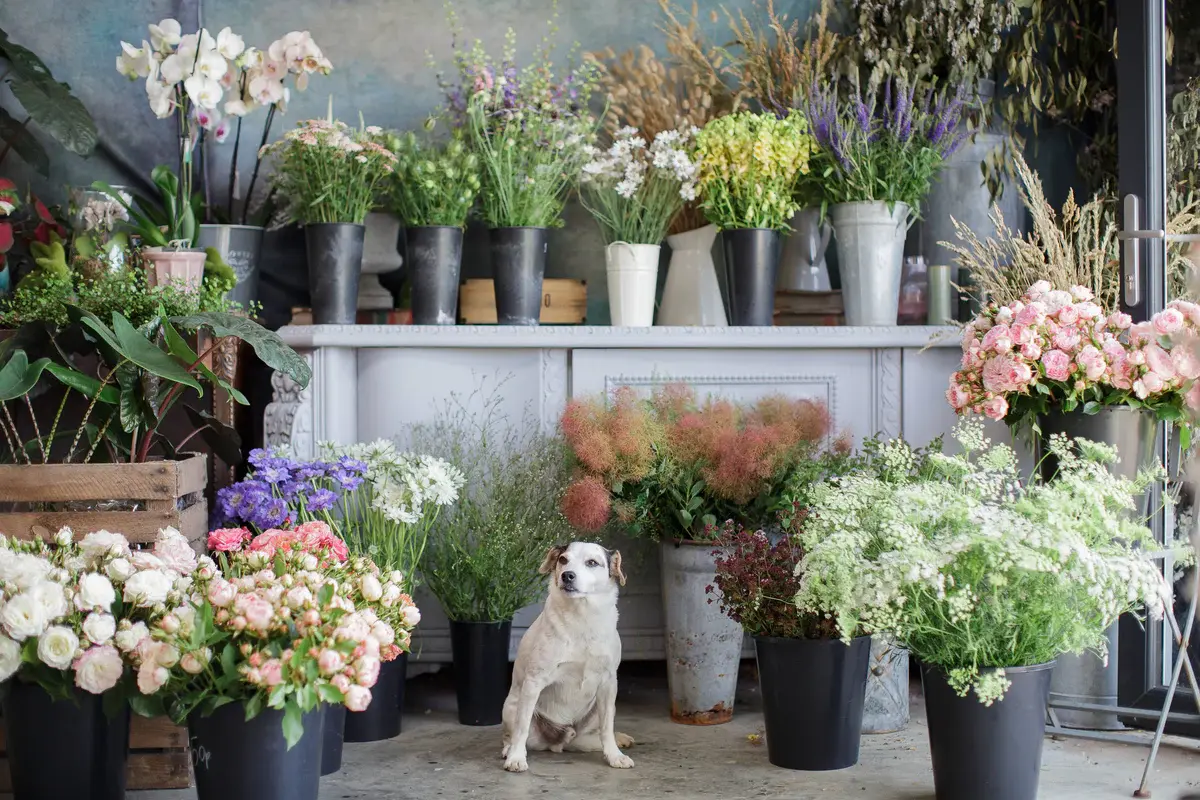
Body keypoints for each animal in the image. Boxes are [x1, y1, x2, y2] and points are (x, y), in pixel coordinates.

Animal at [499, 542, 638, 772]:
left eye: (592, 562)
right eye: (563, 560)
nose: (567, 575)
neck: (582, 618)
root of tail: (560, 739)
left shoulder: (608, 683)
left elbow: (607, 728)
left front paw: (614, 755)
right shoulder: (534, 681)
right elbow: (522, 727)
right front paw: (516, 758)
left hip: (595, 710)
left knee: (586, 738)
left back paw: (618, 740)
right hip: (511, 706)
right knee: (515, 733)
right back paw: (509, 749)